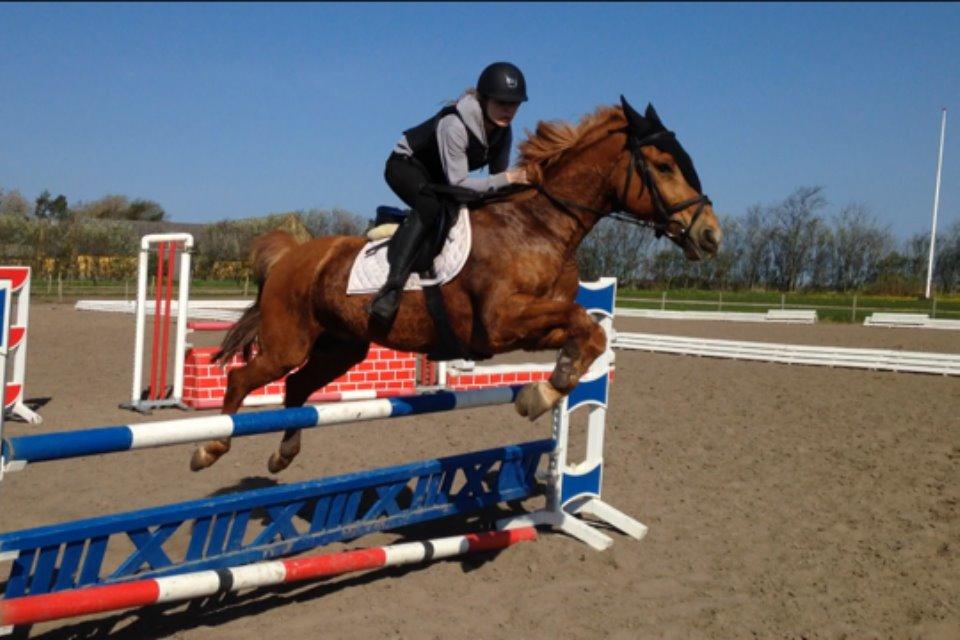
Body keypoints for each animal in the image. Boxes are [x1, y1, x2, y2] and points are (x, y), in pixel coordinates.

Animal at [190, 96, 722, 473]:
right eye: (665, 166)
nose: (710, 235)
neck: (540, 227)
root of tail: (292, 257)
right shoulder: (501, 320)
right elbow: (583, 324)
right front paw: (539, 397)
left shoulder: (528, 328)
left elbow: (588, 334)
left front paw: (544, 391)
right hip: (289, 341)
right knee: (243, 380)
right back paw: (209, 447)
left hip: (341, 346)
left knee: (297, 385)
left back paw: (283, 454)